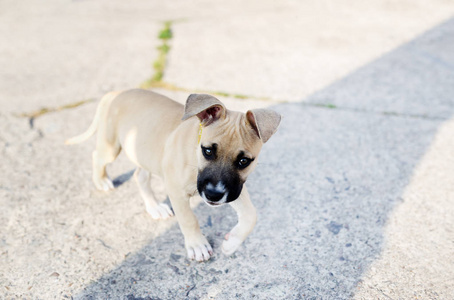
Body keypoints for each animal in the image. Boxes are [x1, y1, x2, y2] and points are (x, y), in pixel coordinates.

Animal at [66, 88, 280, 260]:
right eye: (208, 151)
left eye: (244, 161)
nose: (213, 195)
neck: (194, 155)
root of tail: (115, 92)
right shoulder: (177, 192)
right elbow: (188, 219)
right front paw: (197, 245)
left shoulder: (234, 188)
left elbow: (251, 215)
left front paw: (231, 243)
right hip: (111, 147)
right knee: (97, 156)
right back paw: (101, 181)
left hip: (144, 153)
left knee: (140, 176)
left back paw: (154, 208)